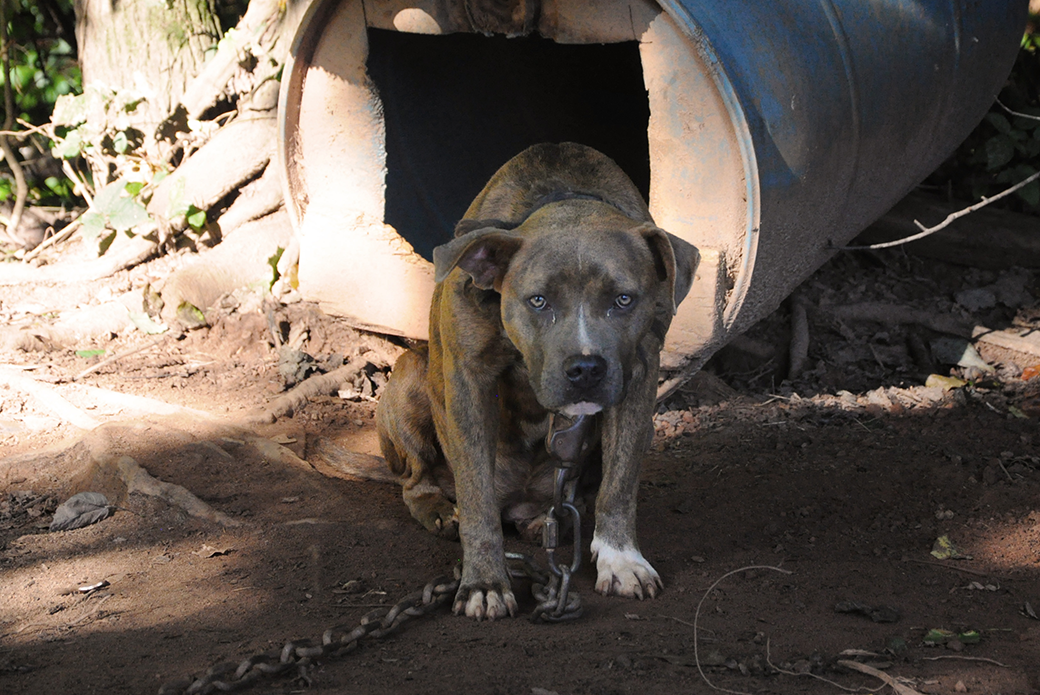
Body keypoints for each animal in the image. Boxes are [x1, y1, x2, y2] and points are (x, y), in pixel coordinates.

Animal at [374, 142, 698, 620]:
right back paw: (440, 510)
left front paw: (621, 559)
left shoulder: (638, 374)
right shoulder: (468, 381)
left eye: (623, 299)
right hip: (411, 377)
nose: (585, 368)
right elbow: (476, 498)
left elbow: (619, 484)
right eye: (538, 301)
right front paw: (484, 582)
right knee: (417, 482)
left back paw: (557, 517)